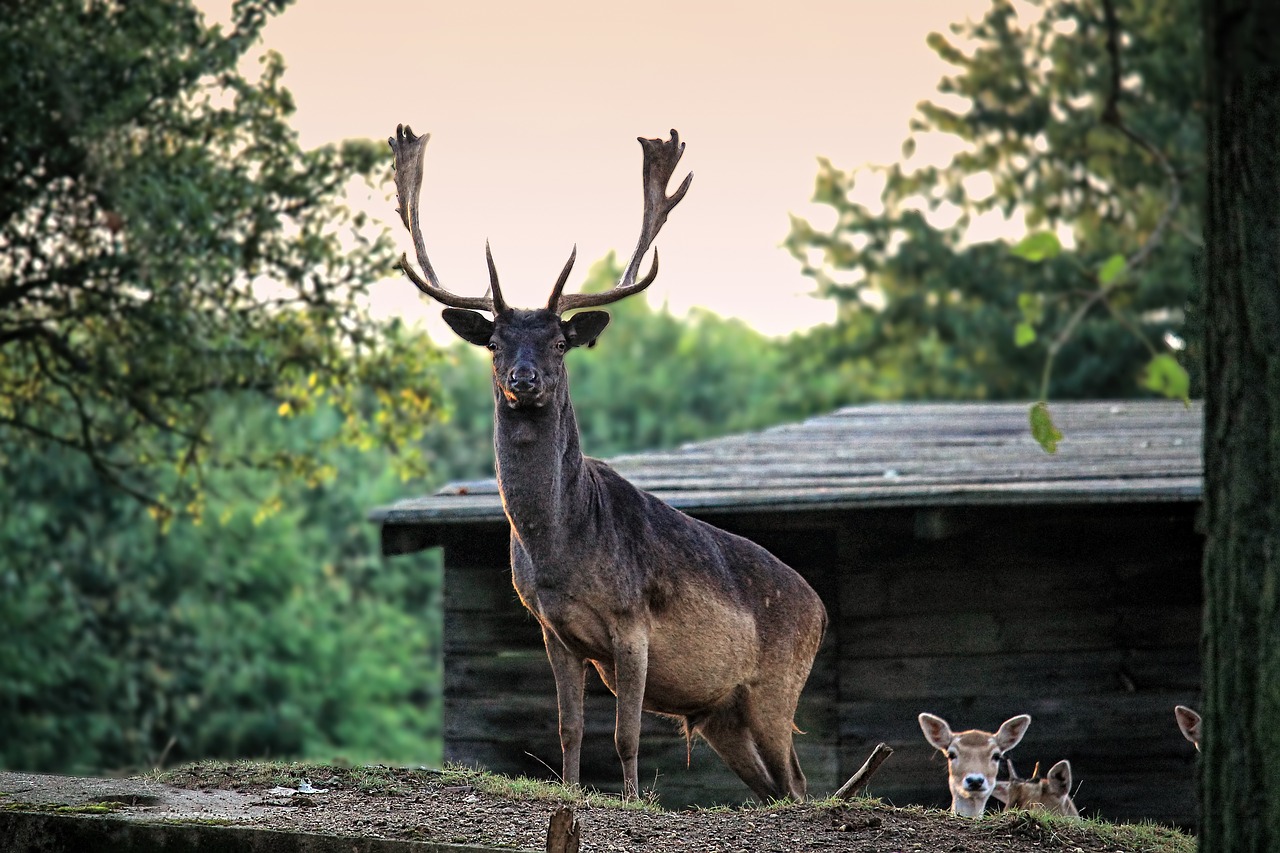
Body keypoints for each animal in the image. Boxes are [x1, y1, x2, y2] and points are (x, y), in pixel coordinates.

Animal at [389, 124, 824, 799]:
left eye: (559, 342)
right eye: (494, 342)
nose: (523, 379)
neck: (560, 549)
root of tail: (822, 609)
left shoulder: (633, 621)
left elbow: (624, 735)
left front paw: (633, 799)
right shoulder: (553, 629)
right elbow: (568, 729)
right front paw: (570, 790)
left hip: (777, 686)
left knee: (798, 782)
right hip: (724, 713)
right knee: (773, 784)